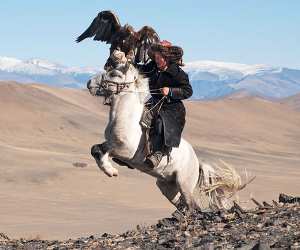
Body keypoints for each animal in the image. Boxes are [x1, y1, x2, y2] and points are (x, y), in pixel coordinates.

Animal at [86, 52, 241, 211]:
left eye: (115, 74)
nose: (89, 83)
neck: (128, 118)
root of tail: (197, 162)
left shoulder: (125, 151)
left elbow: (102, 150)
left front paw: (111, 171)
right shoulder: (111, 144)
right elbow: (95, 149)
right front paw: (109, 169)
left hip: (184, 185)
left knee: (193, 206)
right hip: (167, 186)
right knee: (183, 204)